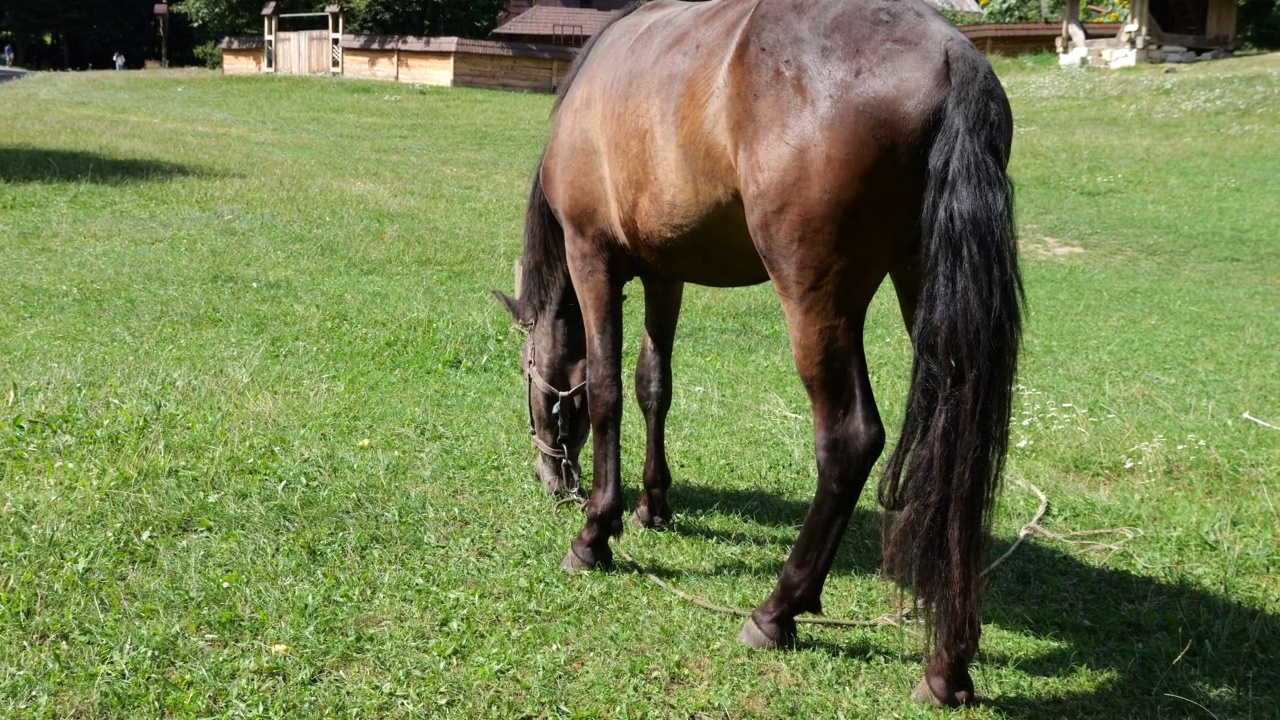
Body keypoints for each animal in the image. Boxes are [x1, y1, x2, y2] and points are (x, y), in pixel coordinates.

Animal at [494, 0, 1024, 707]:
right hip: (926, 285)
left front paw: (596, 533)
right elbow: (653, 383)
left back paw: (777, 610)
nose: (551, 479)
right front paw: (652, 505)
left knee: (850, 442)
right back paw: (947, 663)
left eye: (528, 378)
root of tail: (951, 59)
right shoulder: (664, 272)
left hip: (816, 300)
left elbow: (606, 389)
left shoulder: (593, 256)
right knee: (955, 436)